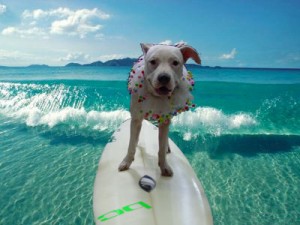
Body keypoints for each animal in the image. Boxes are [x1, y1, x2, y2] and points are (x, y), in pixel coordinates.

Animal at [118, 43, 200, 177]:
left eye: (175, 62)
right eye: (153, 61)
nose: (164, 77)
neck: (156, 97)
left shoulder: (165, 120)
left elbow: (161, 147)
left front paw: (164, 166)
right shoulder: (136, 120)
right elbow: (131, 145)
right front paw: (126, 162)